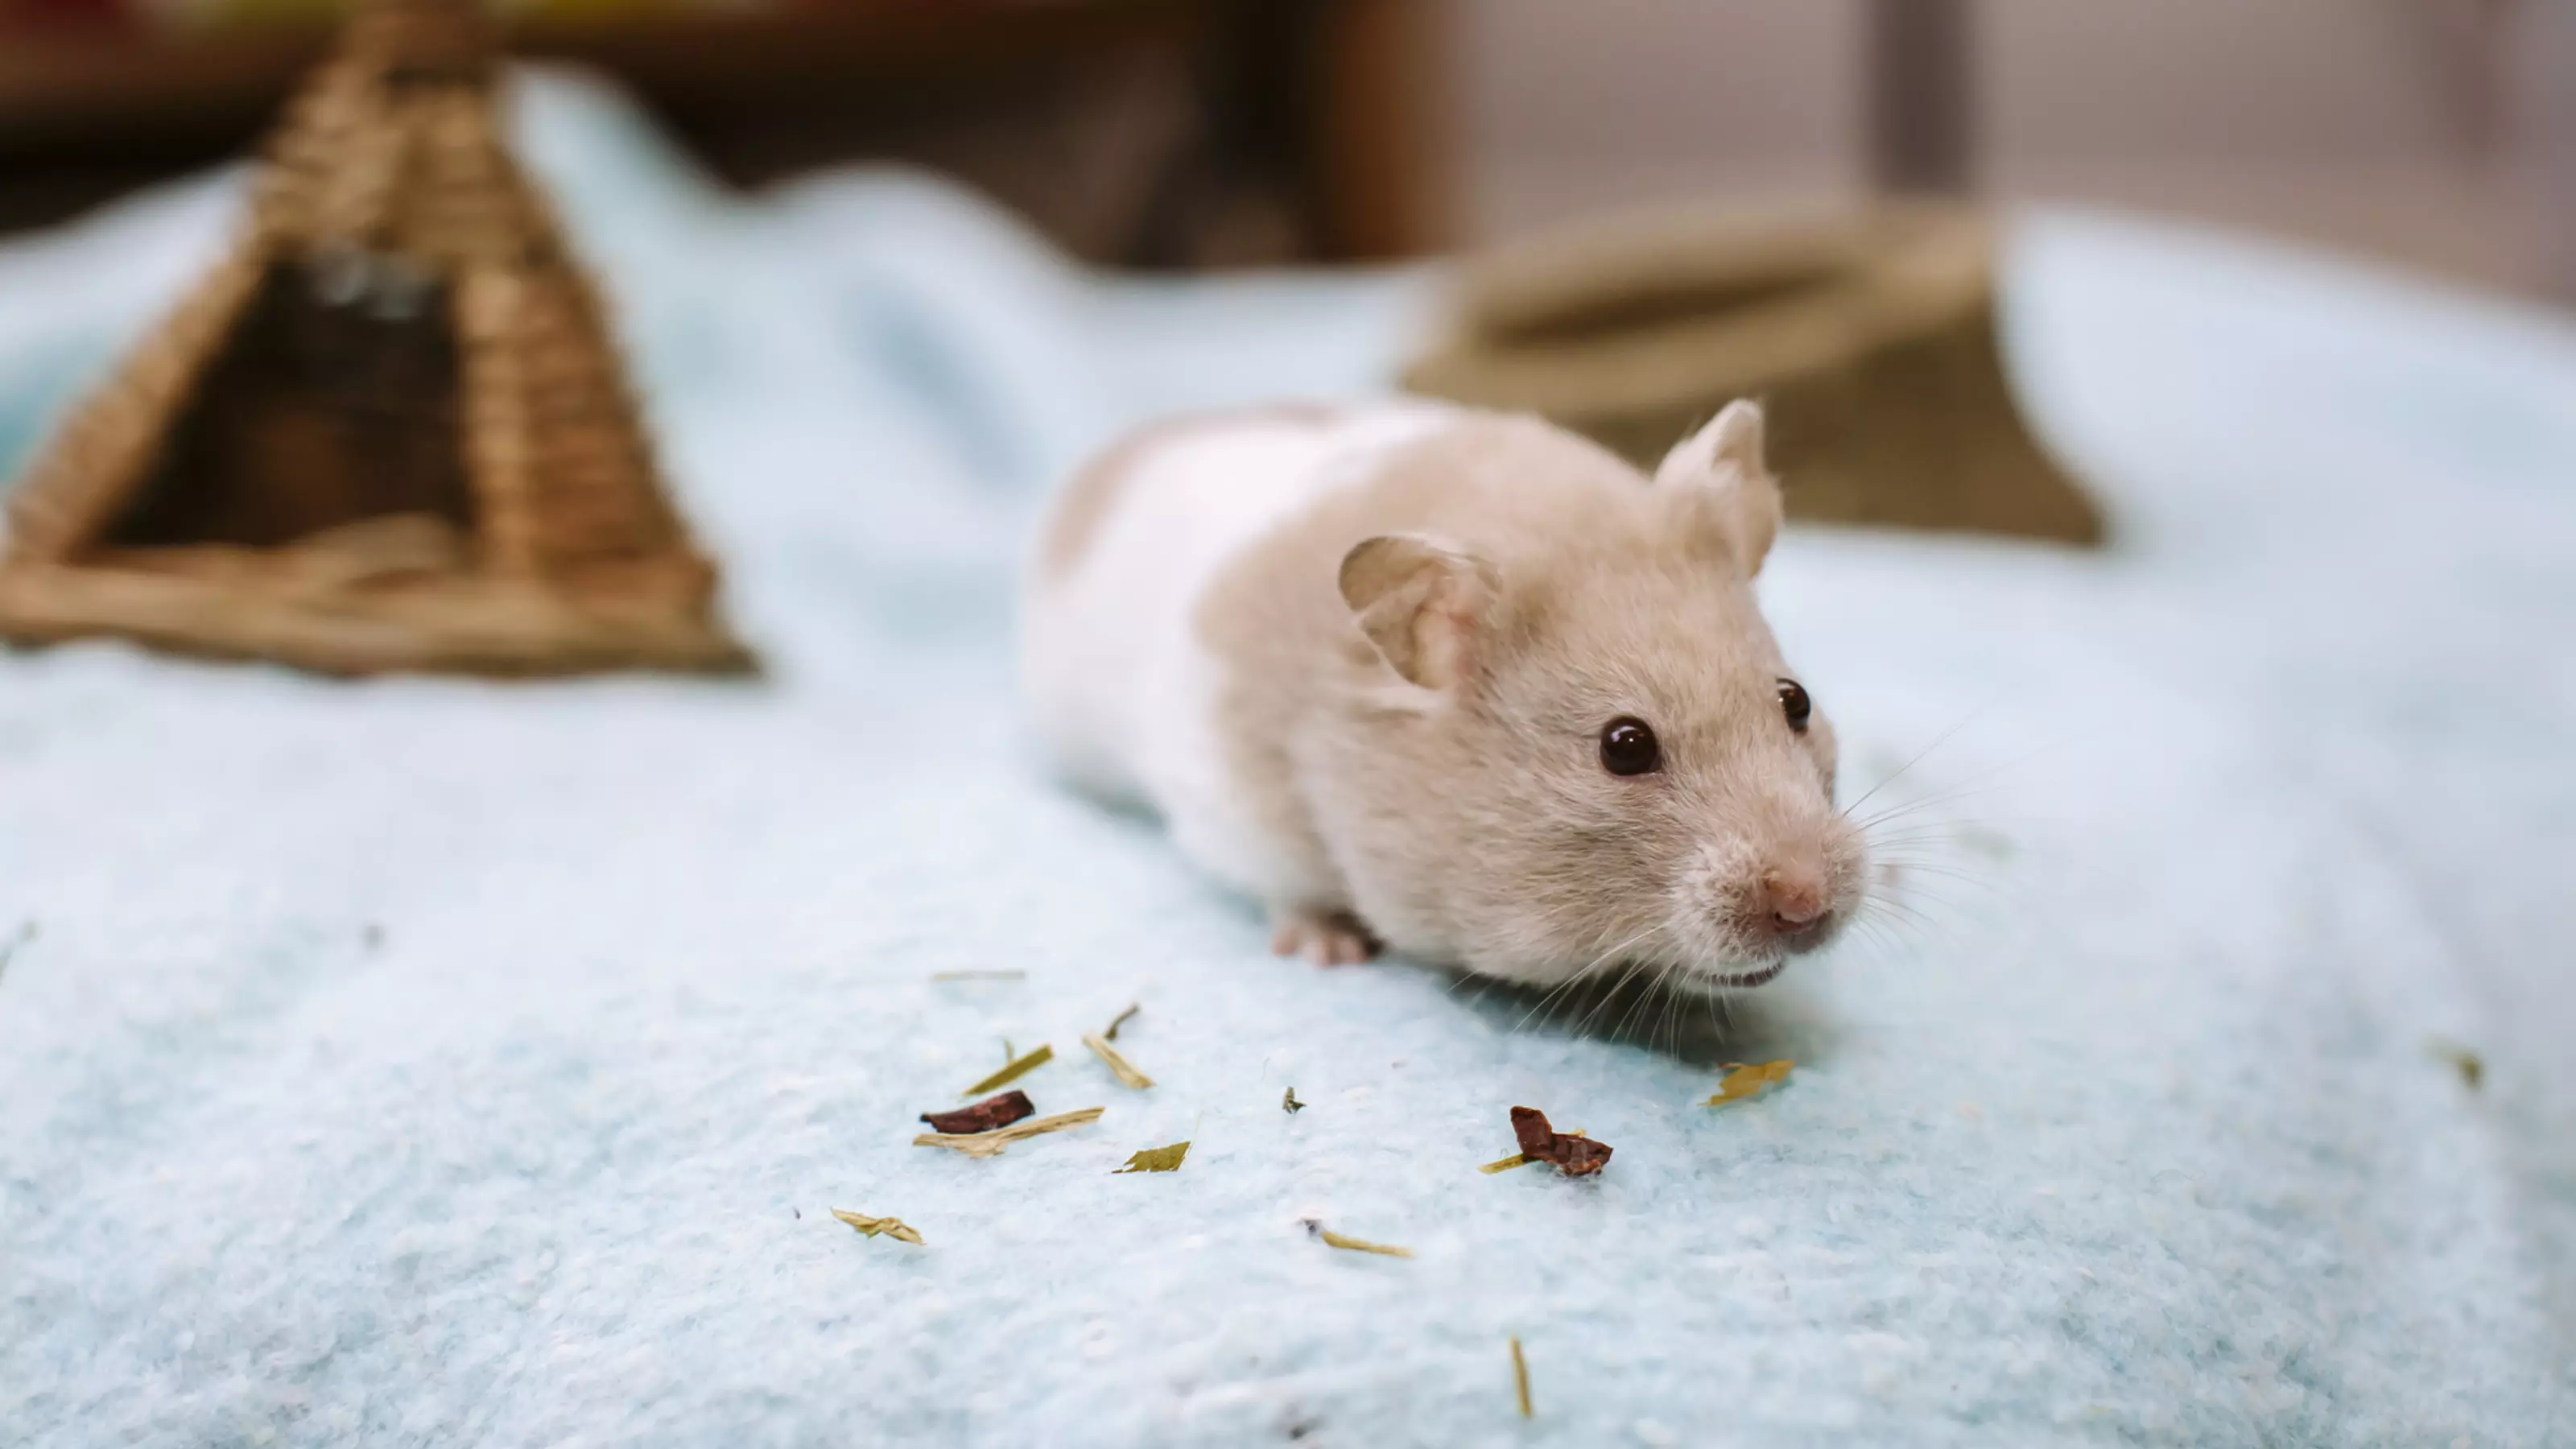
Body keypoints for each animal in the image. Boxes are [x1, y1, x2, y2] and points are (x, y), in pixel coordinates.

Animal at [1020, 399, 1865, 993]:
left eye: (1795, 701)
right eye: (1624, 747)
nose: (1807, 907)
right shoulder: (1233, 806)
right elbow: (1285, 893)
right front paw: (1331, 952)